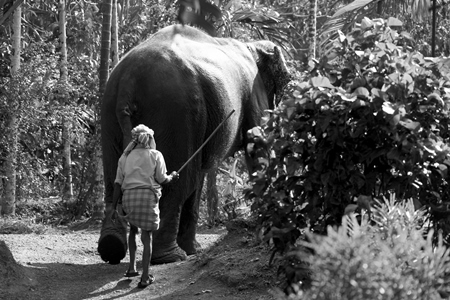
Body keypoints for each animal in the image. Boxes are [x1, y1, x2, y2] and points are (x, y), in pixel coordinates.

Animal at [101, 24, 292, 264]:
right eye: (287, 79)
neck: (252, 45)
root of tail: (129, 77)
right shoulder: (253, 91)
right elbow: (256, 146)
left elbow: (200, 175)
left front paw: (195, 250)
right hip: (175, 114)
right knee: (176, 183)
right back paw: (171, 257)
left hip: (109, 113)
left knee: (114, 180)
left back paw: (112, 248)